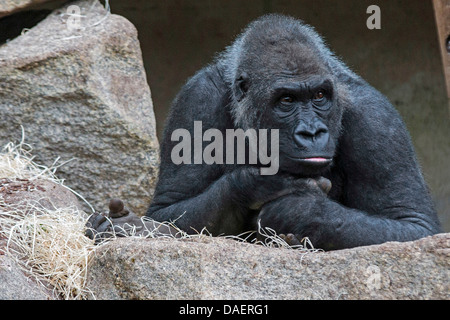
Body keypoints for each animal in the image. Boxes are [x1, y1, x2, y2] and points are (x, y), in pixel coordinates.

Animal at [86, 14, 442, 250]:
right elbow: (166, 211)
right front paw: (257, 183)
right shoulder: (196, 99)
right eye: (286, 100)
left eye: (319, 96)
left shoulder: (378, 120)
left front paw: (301, 212)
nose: (312, 132)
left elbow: (414, 224)